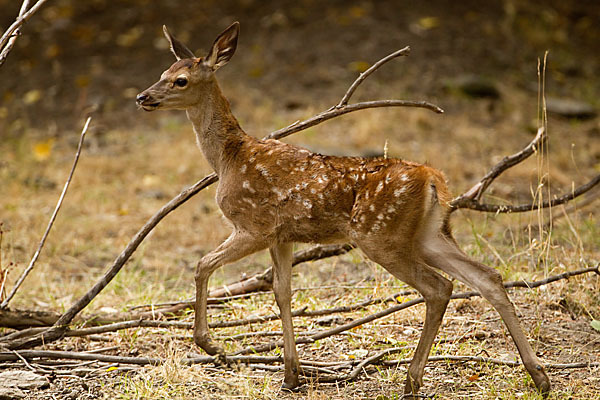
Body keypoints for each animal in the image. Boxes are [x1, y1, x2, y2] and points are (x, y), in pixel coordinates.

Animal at [138, 22, 552, 396]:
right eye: (162, 73)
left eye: (180, 81)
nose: (143, 96)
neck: (228, 158)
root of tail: (433, 179)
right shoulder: (282, 236)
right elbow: (282, 292)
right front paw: (291, 375)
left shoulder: (254, 226)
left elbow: (202, 265)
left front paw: (210, 344)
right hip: (429, 234)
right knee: (488, 277)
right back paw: (540, 377)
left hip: (381, 235)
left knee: (439, 287)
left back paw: (412, 381)